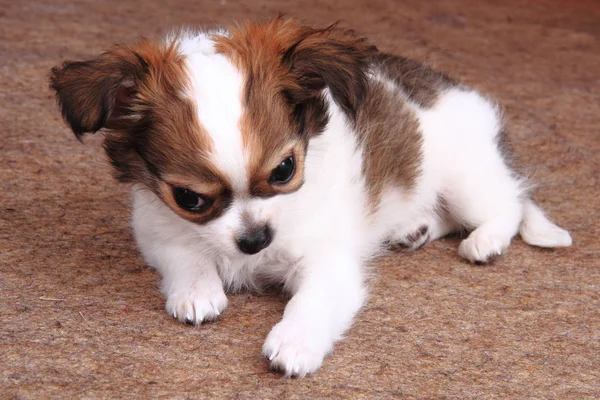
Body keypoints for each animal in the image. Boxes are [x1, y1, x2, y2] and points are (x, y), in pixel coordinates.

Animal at [50, 17, 572, 376]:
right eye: (190, 199)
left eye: (284, 170)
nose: (255, 240)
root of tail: (453, 89)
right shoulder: (158, 226)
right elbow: (186, 254)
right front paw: (197, 291)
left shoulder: (328, 262)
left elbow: (312, 301)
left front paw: (295, 343)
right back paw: (414, 228)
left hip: (466, 178)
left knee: (508, 204)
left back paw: (486, 241)